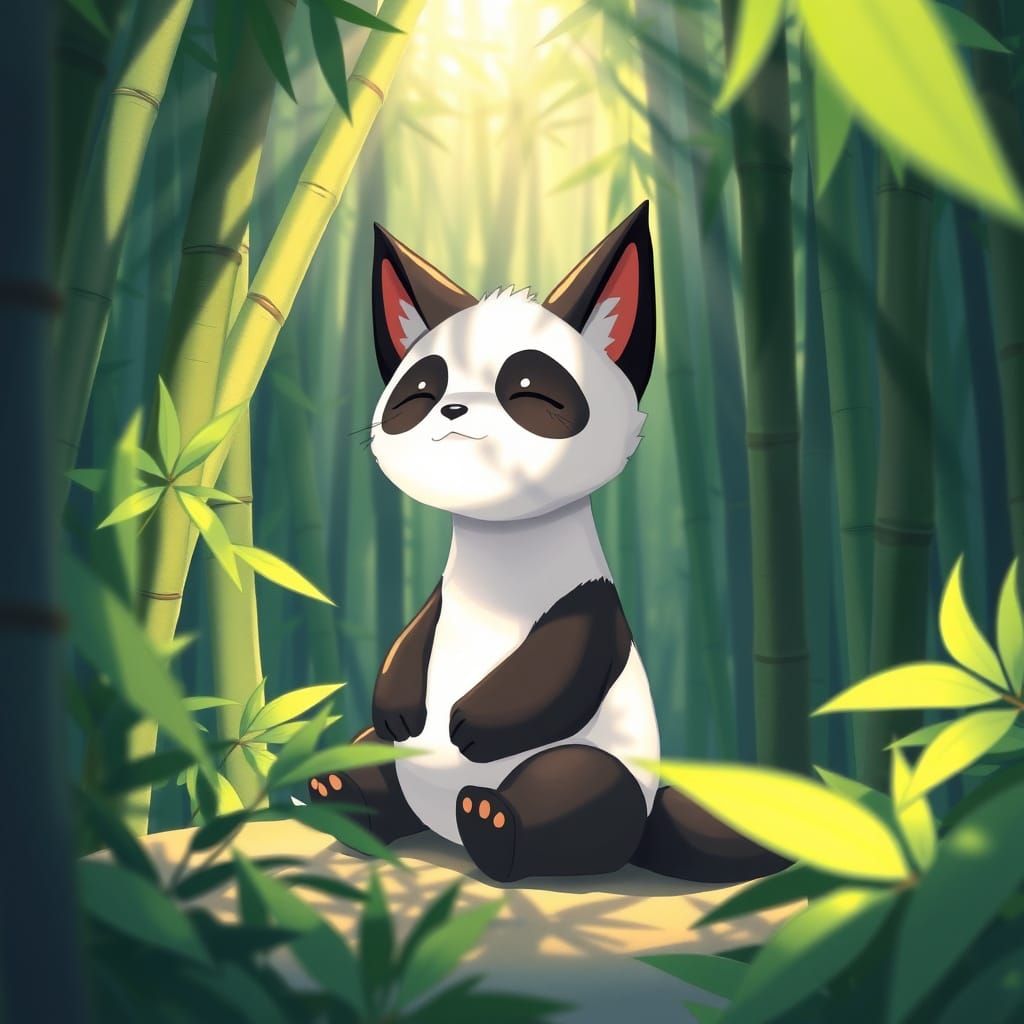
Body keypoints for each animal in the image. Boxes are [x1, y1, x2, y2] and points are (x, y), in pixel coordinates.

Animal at [309, 202, 787, 885]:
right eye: (421, 390)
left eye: (529, 388)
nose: (452, 410)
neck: (502, 544)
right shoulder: (444, 595)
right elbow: (411, 638)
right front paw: (399, 707)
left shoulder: (587, 598)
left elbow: (563, 661)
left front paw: (468, 722)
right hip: (396, 762)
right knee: (369, 754)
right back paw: (339, 791)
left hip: (602, 769)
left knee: (582, 792)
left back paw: (493, 822)